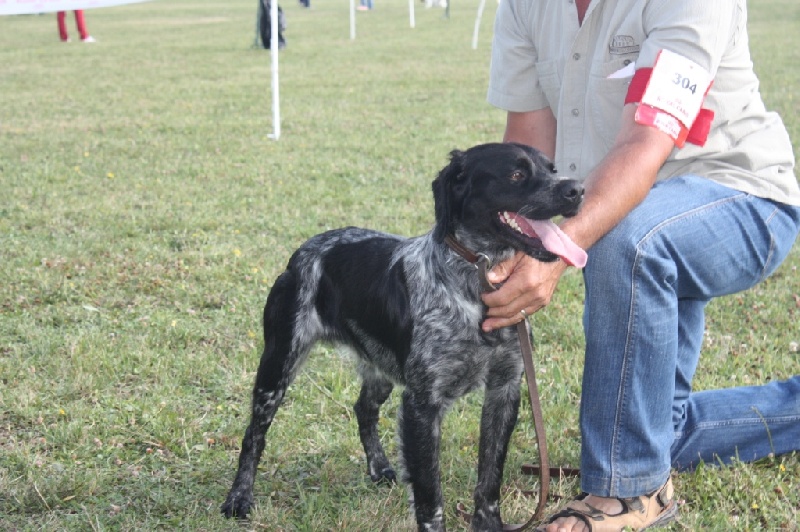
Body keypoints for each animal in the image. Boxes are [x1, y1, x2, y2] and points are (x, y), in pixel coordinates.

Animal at [222, 142, 584, 532]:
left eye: (552, 169)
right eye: (516, 174)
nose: (577, 189)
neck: (476, 285)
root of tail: (306, 248)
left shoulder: (504, 390)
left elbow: (489, 481)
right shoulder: (422, 405)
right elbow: (429, 497)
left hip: (381, 366)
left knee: (363, 409)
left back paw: (379, 467)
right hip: (278, 365)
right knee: (253, 434)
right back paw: (239, 497)